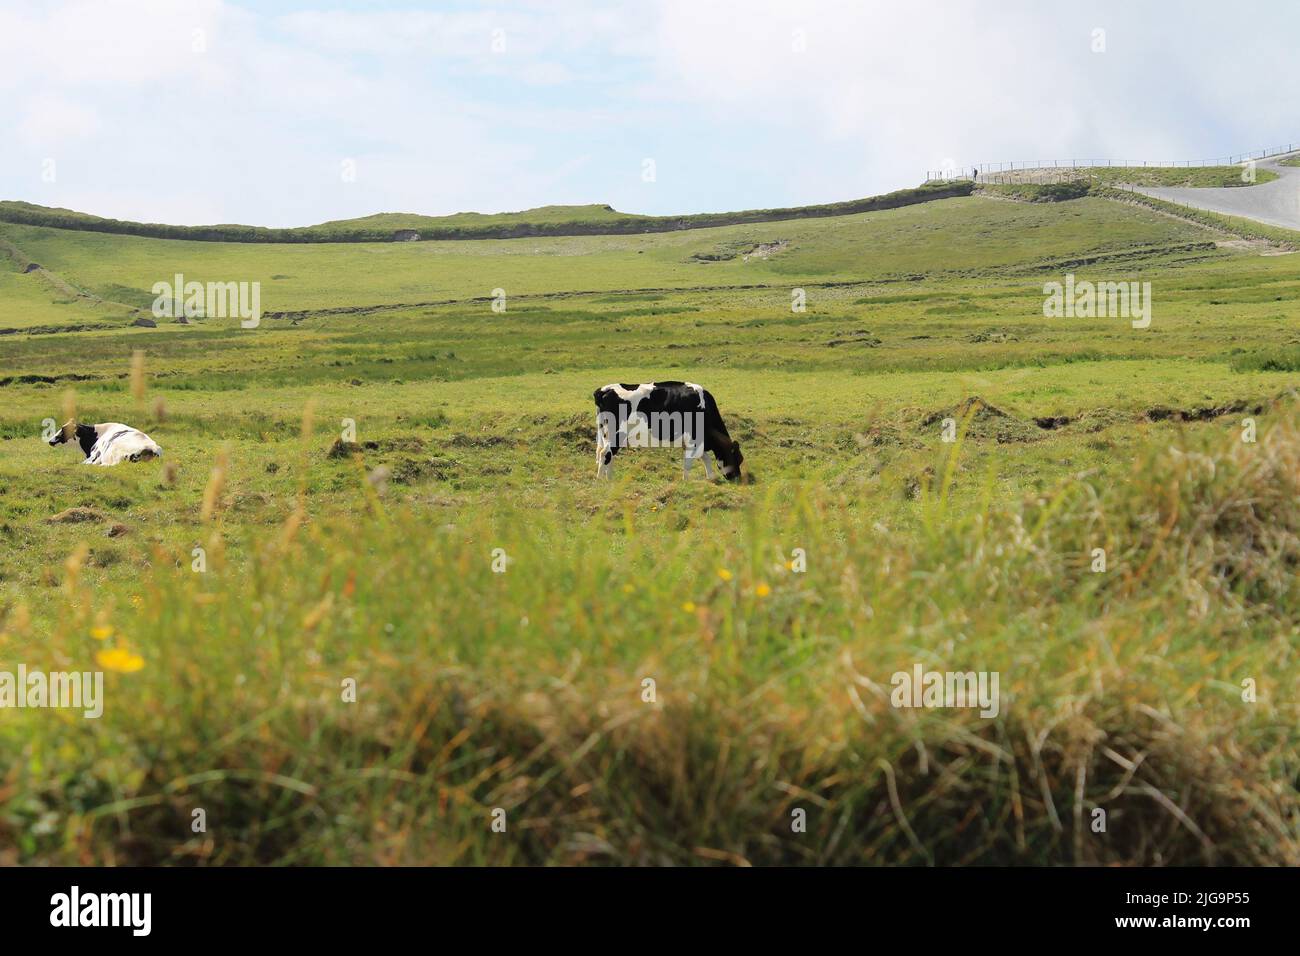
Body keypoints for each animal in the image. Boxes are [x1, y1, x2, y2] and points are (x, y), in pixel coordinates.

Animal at [595, 382, 748, 481]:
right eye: (737, 458)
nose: (737, 478)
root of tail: (604, 389)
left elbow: (705, 457)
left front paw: (711, 477)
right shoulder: (693, 438)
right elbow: (689, 461)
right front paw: (686, 481)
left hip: (604, 433)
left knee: (605, 454)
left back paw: (608, 479)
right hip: (616, 433)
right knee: (605, 454)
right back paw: (603, 481)